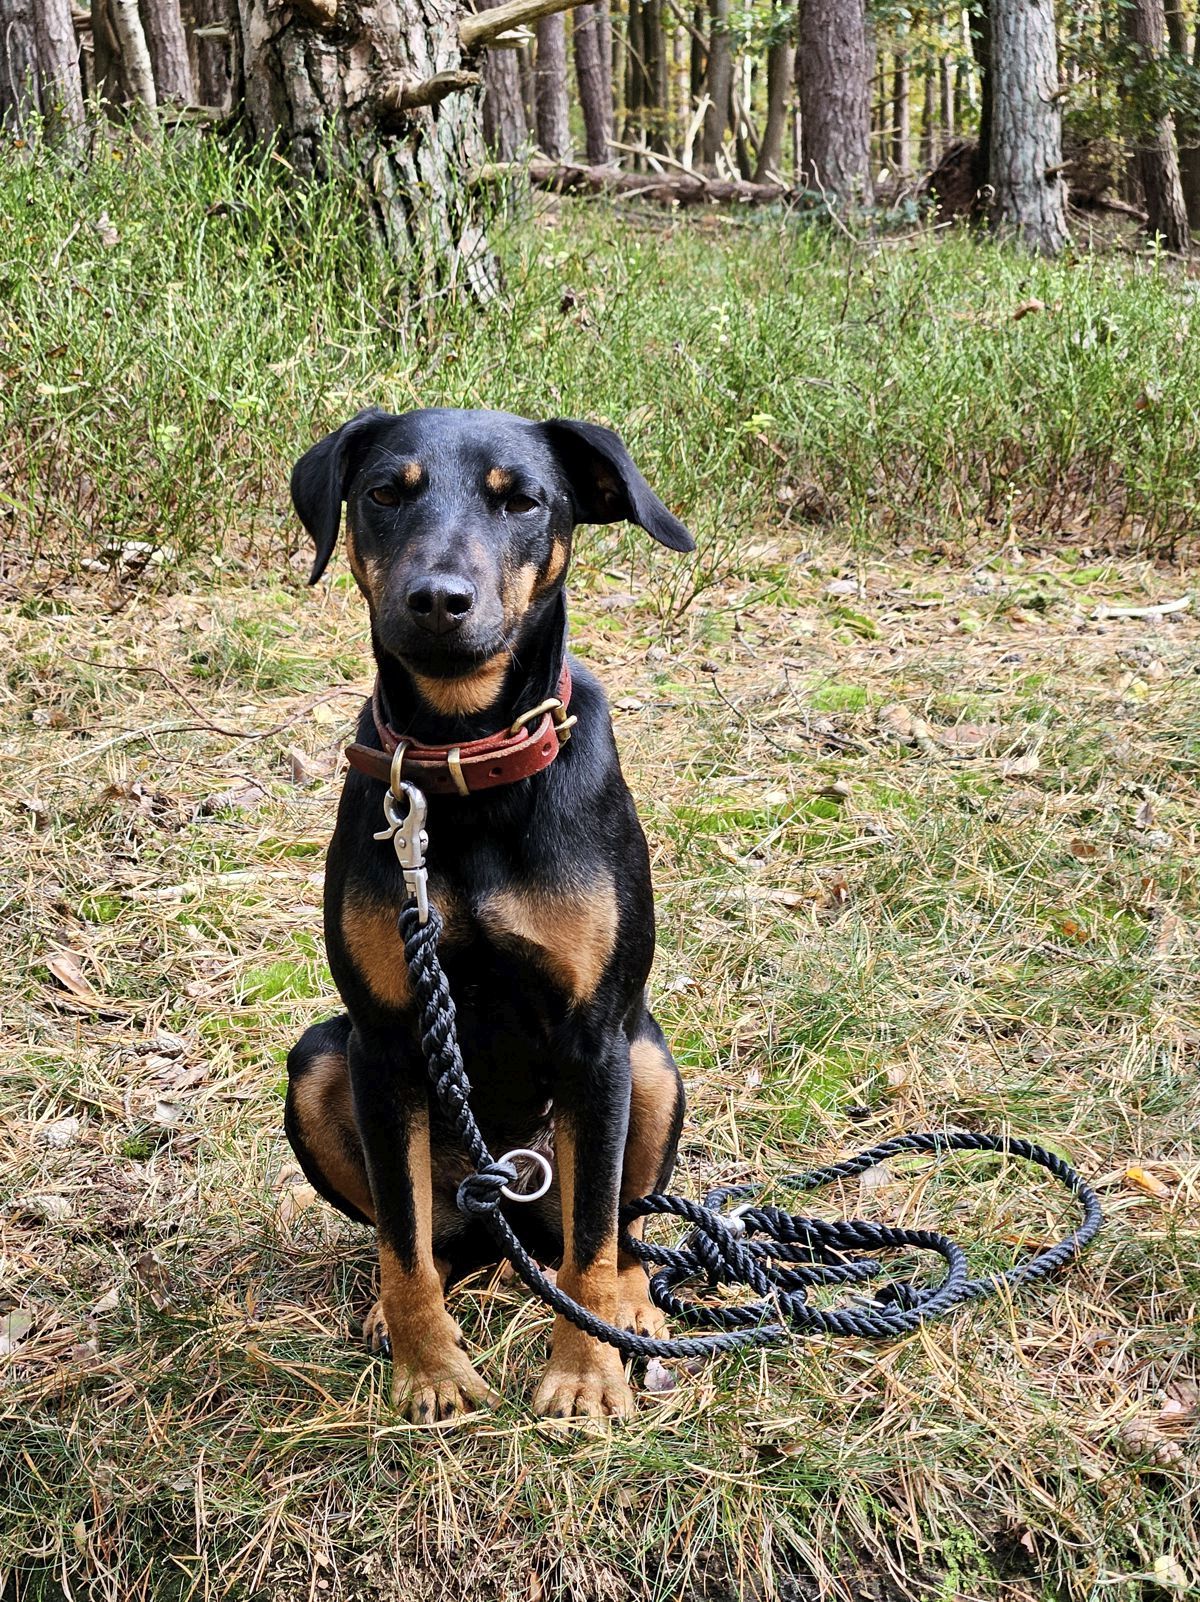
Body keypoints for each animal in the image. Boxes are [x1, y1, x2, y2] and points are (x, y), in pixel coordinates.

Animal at [283, 406, 692, 1422]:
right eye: (384, 492)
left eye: (524, 501)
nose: (439, 599)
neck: (462, 761)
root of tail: (512, 1217)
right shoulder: (384, 1043)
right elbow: (401, 1243)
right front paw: (430, 1372)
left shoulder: (595, 1039)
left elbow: (593, 1248)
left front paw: (584, 1379)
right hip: (319, 1063)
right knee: (440, 1242)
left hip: (648, 1063)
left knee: (608, 1233)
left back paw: (635, 1312)